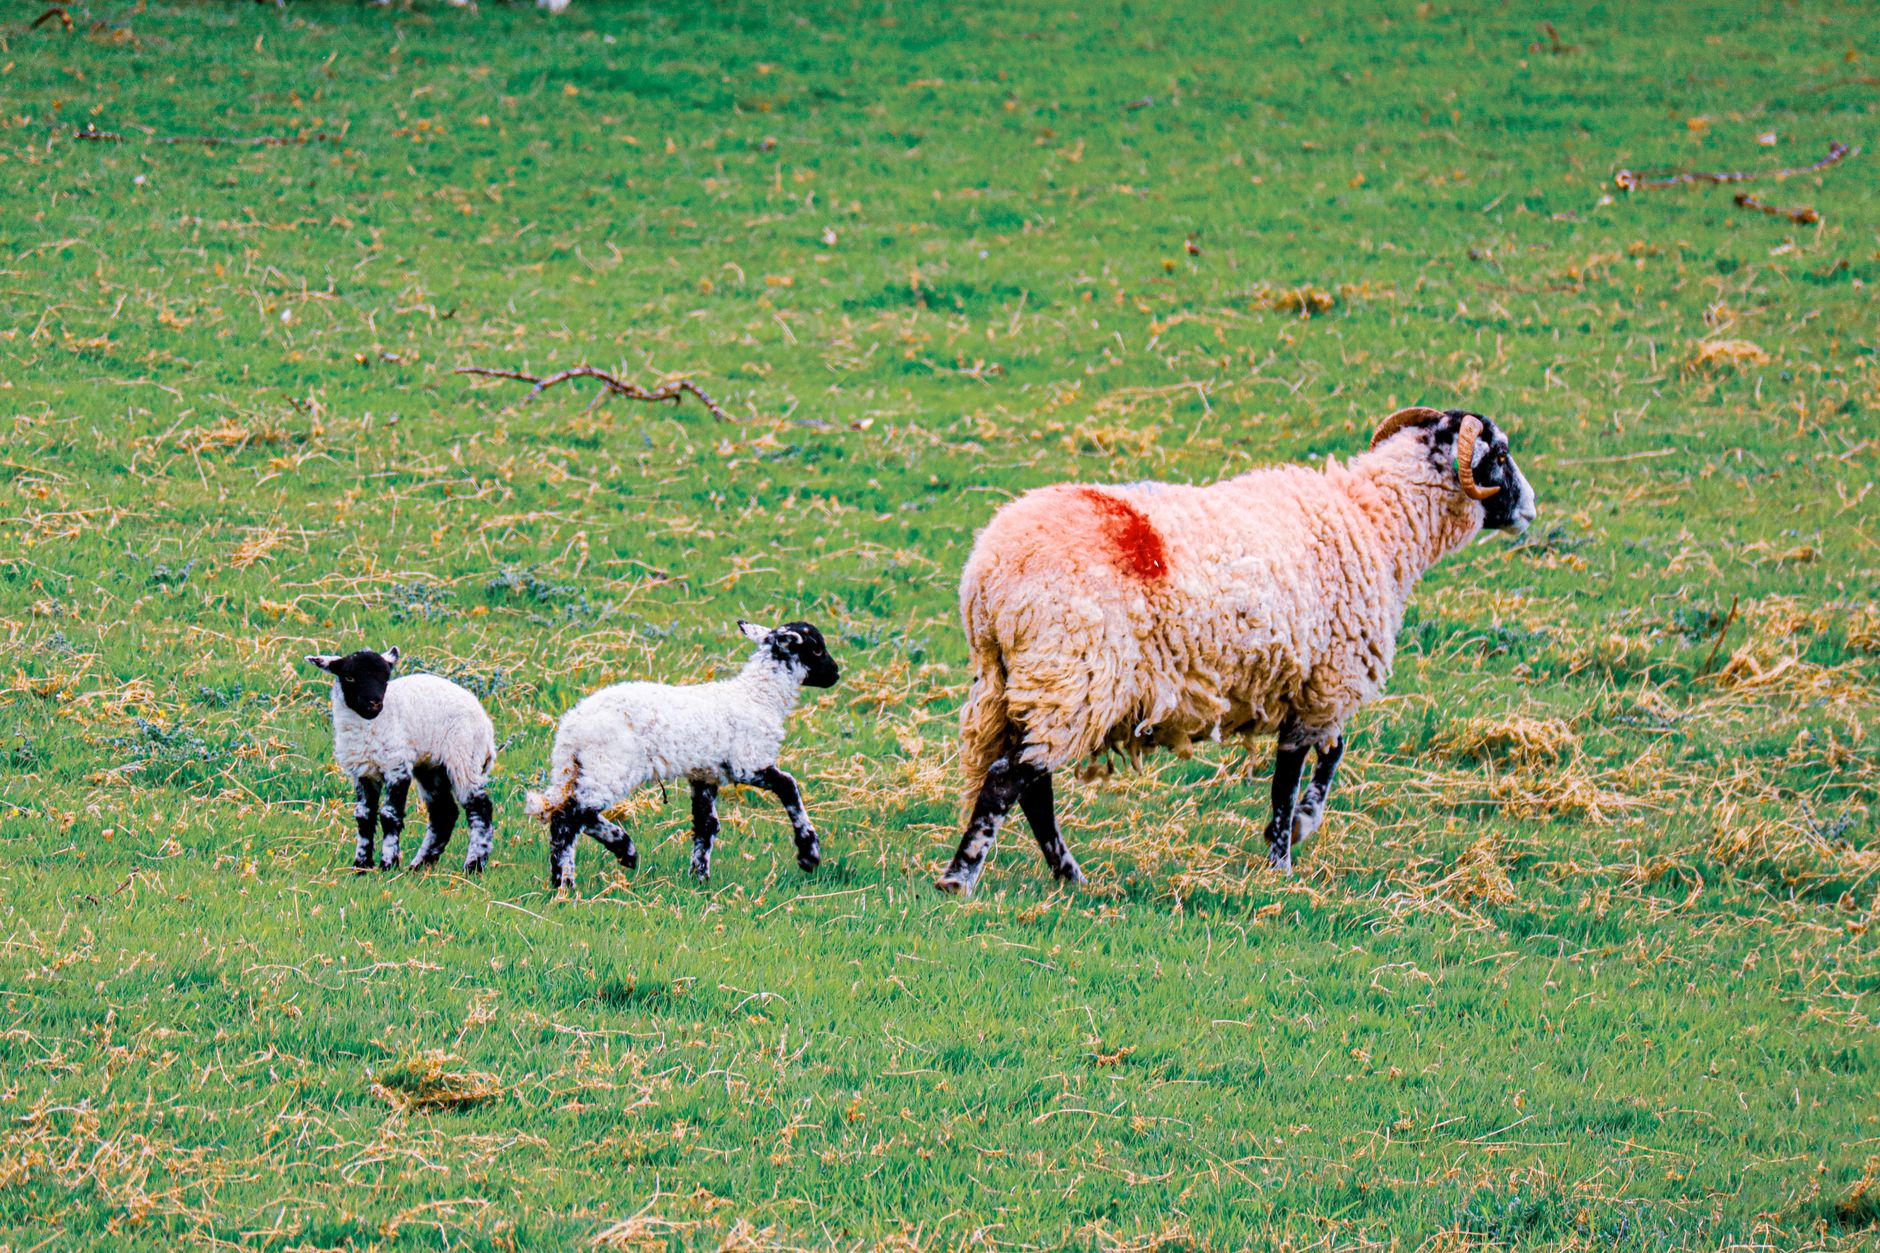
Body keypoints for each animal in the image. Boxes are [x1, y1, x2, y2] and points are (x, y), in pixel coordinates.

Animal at [304, 647, 498, 873]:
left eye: (386, 678)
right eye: (349, 677)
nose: (375, 703)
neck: (369, 727)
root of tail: (486, 726)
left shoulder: (397, 766)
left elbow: (389, 815)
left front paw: (388, 864)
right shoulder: (363, 772)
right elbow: (364, 816)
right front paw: (362, 866)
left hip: (464, 756)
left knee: (479, 808)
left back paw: (473, 866)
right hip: (431, 766)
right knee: (443, 812)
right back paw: (420, 865)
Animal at [525, 620, 840, 889]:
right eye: (816, 648)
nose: (836, 673)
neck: (759, 697)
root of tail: (571, 730)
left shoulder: (705, 774)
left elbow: (706, 825)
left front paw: (699, 879)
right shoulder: (748, 763)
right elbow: (789, 786)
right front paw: (808, 854)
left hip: (582, 770)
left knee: (567, 813)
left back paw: (610, 857)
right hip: (610, 766)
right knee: (569, 818)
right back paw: (575, 879)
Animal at [937, 406, 1537, 895]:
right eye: (1500, 454)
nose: (1531, 508)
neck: (1377, 522)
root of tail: (988, 575)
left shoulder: (1309, 683)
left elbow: (1326, 754)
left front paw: (1291, 837)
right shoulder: (1325, 681)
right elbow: (1293, 777)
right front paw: (1287, 850)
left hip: (1016, 681)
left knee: (1031, 786)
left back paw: (1068, 875)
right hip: (1075, 676)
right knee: (1008, 781)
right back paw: (962, 877)